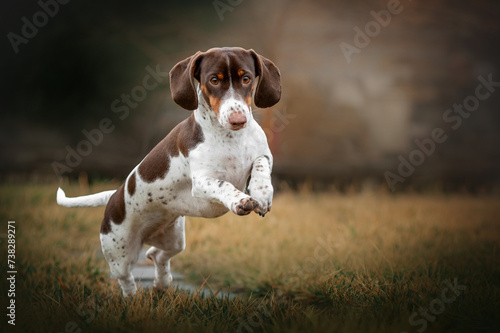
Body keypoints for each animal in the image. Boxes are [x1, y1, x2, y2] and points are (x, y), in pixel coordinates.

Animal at [56, 47, 282, 296]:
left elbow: (260, 165)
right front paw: (241, 201)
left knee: (156, 254)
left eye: (246, 78)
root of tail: (114, 195)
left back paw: (162, 284)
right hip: (120, 252)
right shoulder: (202, 182)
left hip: (174, 240)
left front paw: (262, 193)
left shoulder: (264, 155)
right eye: (214, 80)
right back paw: (133, 299)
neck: (231, 138)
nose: (238, 120)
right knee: (126, 278)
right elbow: (224, 185)